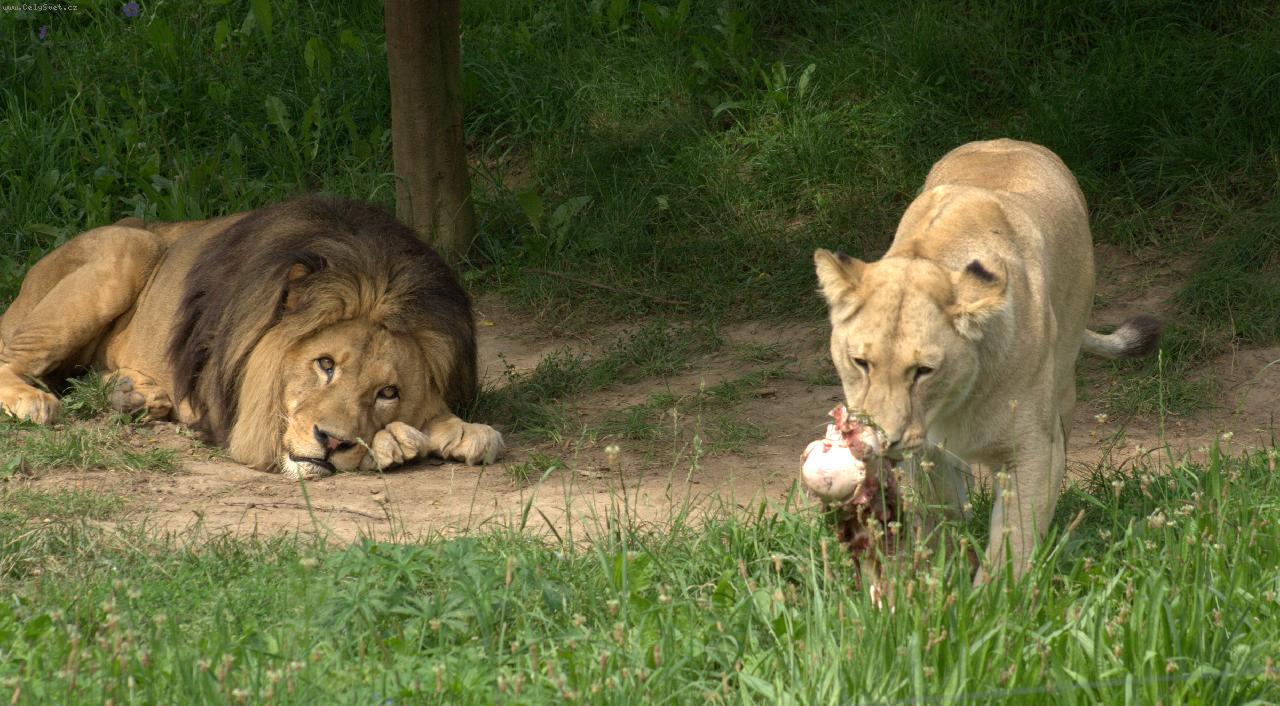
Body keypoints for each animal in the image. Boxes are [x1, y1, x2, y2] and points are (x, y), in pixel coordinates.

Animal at [0, 196, 504, 479]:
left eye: (388, 392)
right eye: (325, 364)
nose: (331, 442)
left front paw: (460, 430)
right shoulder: (238, 421)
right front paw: (393, 443)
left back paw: (135, 395)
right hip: (128, 250)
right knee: (11, 355)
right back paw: (34, 401)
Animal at [813, 139, 1159, 578]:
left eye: (923, 371)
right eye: (860, 362)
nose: (884, 440)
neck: (953, 404)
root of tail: (1010, 141)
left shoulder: (1033, 450)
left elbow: (1015, 541)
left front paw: (997, 593)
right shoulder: (927, 455)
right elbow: (942, 519)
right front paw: (946, 576)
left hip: (1064, 379)